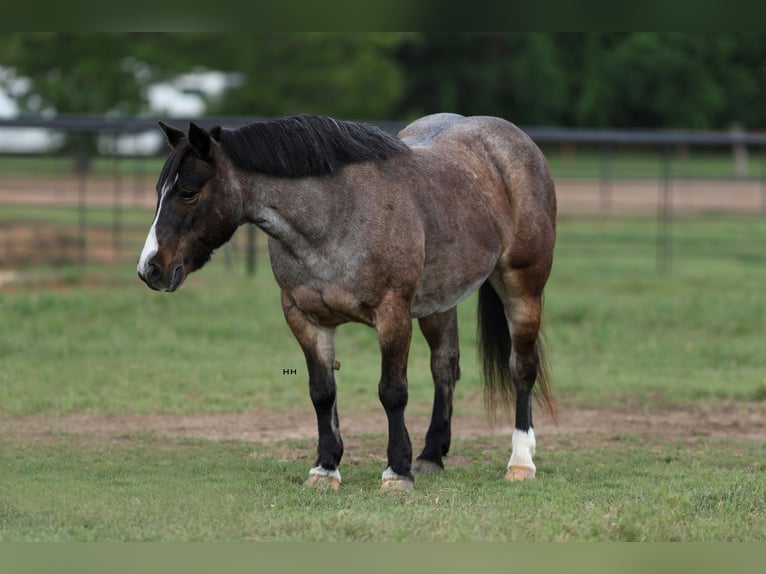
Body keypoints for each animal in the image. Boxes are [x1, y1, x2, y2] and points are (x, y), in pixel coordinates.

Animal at [136, 113, 560, 496]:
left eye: (188, 192)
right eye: (159, 190)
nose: (149, 269)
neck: (337, 216)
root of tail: (514, 140)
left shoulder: (393, 314)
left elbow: (392, 392)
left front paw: (396, 473)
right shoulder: (304, 318)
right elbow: (323, 393)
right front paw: (325, 469)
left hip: (522, 287)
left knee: (521, 368)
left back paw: (521, 462)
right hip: (439, 303)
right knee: (445, 367)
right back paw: (430, 456)